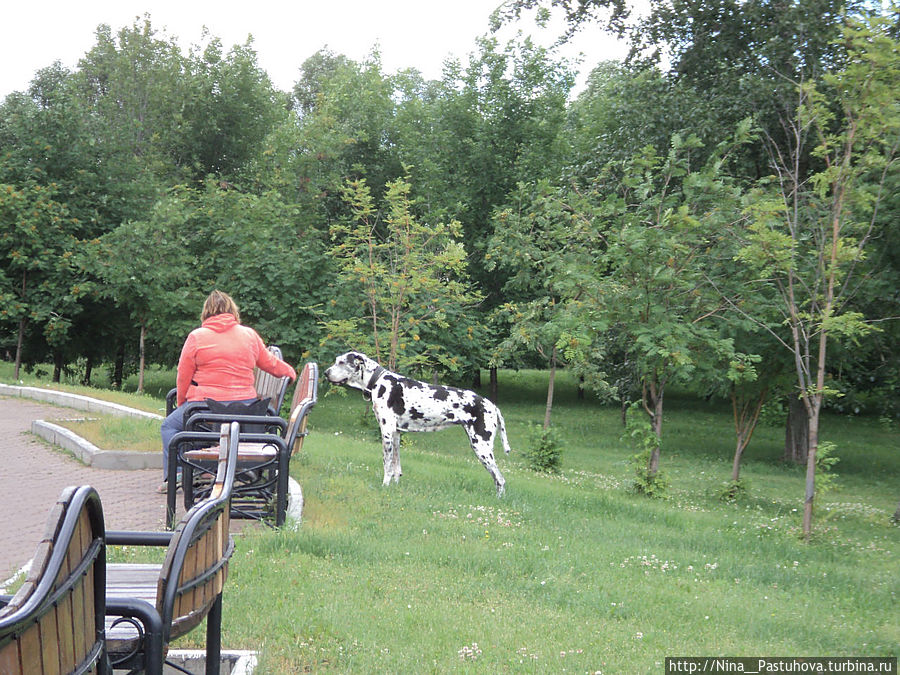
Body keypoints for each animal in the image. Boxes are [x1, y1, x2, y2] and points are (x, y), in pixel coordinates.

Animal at [324, 354, 510, 496]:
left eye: (342, 362)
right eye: (336, 360)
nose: (326, 373)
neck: (378, 382)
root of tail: (492, 405)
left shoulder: (386, 433)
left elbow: (387, 465)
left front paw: (384, 486)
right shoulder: (396, 434)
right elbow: (396, 467)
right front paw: (394, 487)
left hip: (481, 447)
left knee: (500, 479)